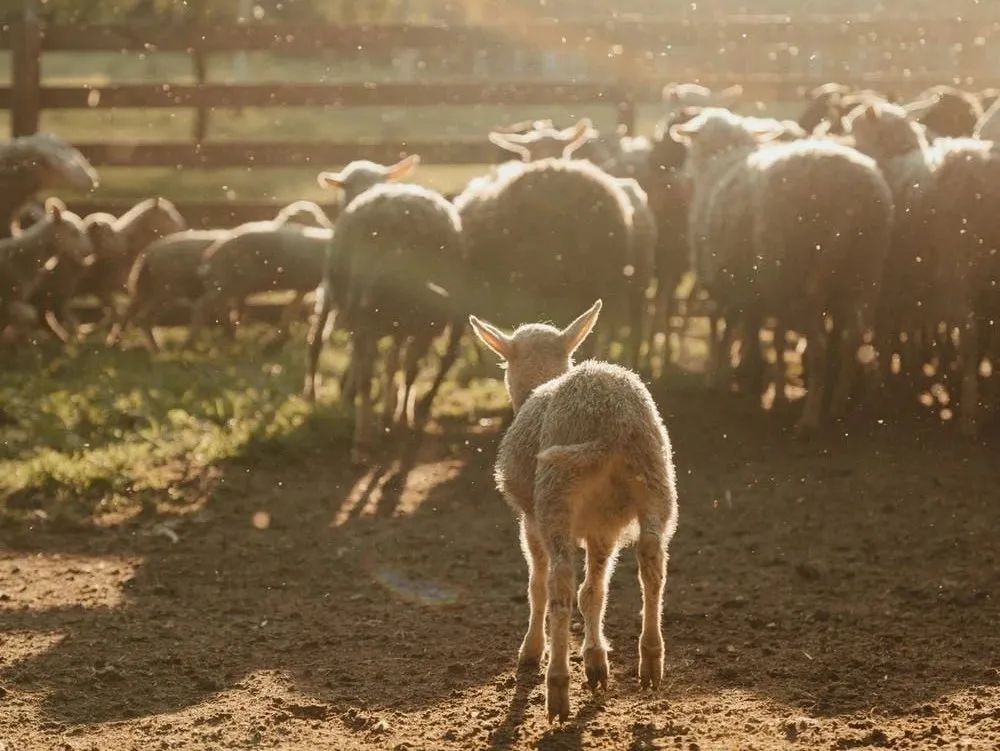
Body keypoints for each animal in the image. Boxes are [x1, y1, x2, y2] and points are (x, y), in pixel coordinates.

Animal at [304, 156, 464, 462]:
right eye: (346, 186)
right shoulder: (397, 326)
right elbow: (392, 367)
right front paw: (388, 415)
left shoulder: (361, 318)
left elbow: (377, 368)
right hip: (421, 322)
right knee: (408, 369)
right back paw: (398, 422)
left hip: (372, 317)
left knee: (373, 371)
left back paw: (365, 436)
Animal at [468, 300, 680, 724]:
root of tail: (613, 419)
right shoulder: (604, 528)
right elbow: (595, 592)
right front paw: (596, 662)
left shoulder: (529, 522)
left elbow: (537, 585)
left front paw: (532, 651)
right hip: (657, 482)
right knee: (652, 566)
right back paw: (650, 659)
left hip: (555, 496)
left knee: (559, 585)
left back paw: (557, 686)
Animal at [672, 108, 892, 432]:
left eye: (694, 145)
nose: (683, 177)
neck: (722, 160)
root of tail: (854, 196)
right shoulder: (754, 285)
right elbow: (753, 328)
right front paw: (752, 375)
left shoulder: (726, 279)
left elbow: (723, 327)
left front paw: (721, 378)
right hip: (866, 275)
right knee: (853, 338)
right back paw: (838, 405)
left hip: (807, 278)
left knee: (819, 347)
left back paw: (809, 419)